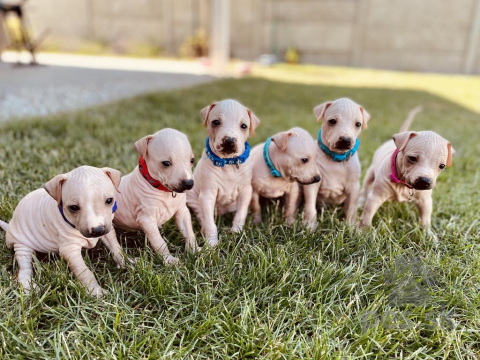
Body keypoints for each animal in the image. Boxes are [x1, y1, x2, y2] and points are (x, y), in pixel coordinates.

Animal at [0, 165, 125, 296]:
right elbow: (84, 272)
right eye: (73, 207)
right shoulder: (70, 250)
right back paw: (28, 286)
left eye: (109, 200)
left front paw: (126, 263)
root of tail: (10, 226)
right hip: (21, 245)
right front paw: (95, 291)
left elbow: (116, 247)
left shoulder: (108, 230)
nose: (98, 230)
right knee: (24, 268)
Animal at [110, 128, 199, 266]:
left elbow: (189, 231)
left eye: (192, 160)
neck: (165, 191)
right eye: (166, 163)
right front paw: (169, 260)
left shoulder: (182, 212)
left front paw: (195, 250)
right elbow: (159, 242)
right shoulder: (146, 220)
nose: (189, 183)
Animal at [187, 98, 260, 246]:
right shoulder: (207, 195)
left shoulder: (246, 191)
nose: (229, 141)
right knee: (202, 215)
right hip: (194, 200)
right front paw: (211, 243)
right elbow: (210, 223)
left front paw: (236, 232)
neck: (228, 164)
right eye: (216, 122)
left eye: (244, 126)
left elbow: (240, 214)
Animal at [304, 97, 372, 229]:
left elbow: (351, 208)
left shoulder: (353, 187)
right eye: (332, 121)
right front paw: (310, 225)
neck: (336, 158)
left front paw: (351, 226)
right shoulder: (312, 183)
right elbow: (310, 205)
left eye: (358, 124)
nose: (345, 140)